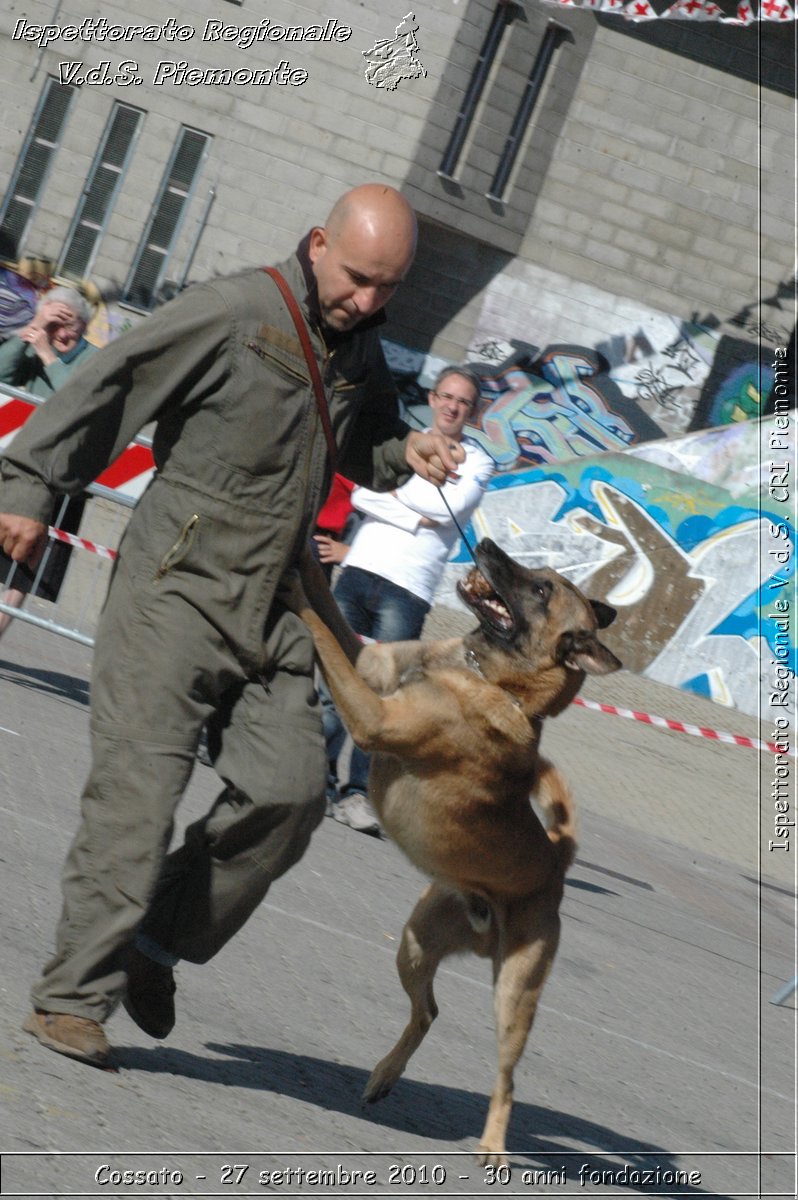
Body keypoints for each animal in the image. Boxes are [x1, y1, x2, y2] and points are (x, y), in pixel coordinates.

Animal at [294, 542, 624, 1161]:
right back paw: (385, 1076)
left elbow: (317, 625)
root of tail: (557, 863)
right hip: (413, 945)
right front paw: (301, 555)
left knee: (507, 1080)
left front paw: (289, 588)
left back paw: (492, 1145)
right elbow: (328, 611)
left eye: (541, 590)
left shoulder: (374, 714)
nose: (487, 546)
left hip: (514, 996)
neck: (487, 677)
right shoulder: (370, 665)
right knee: (428, 1012)